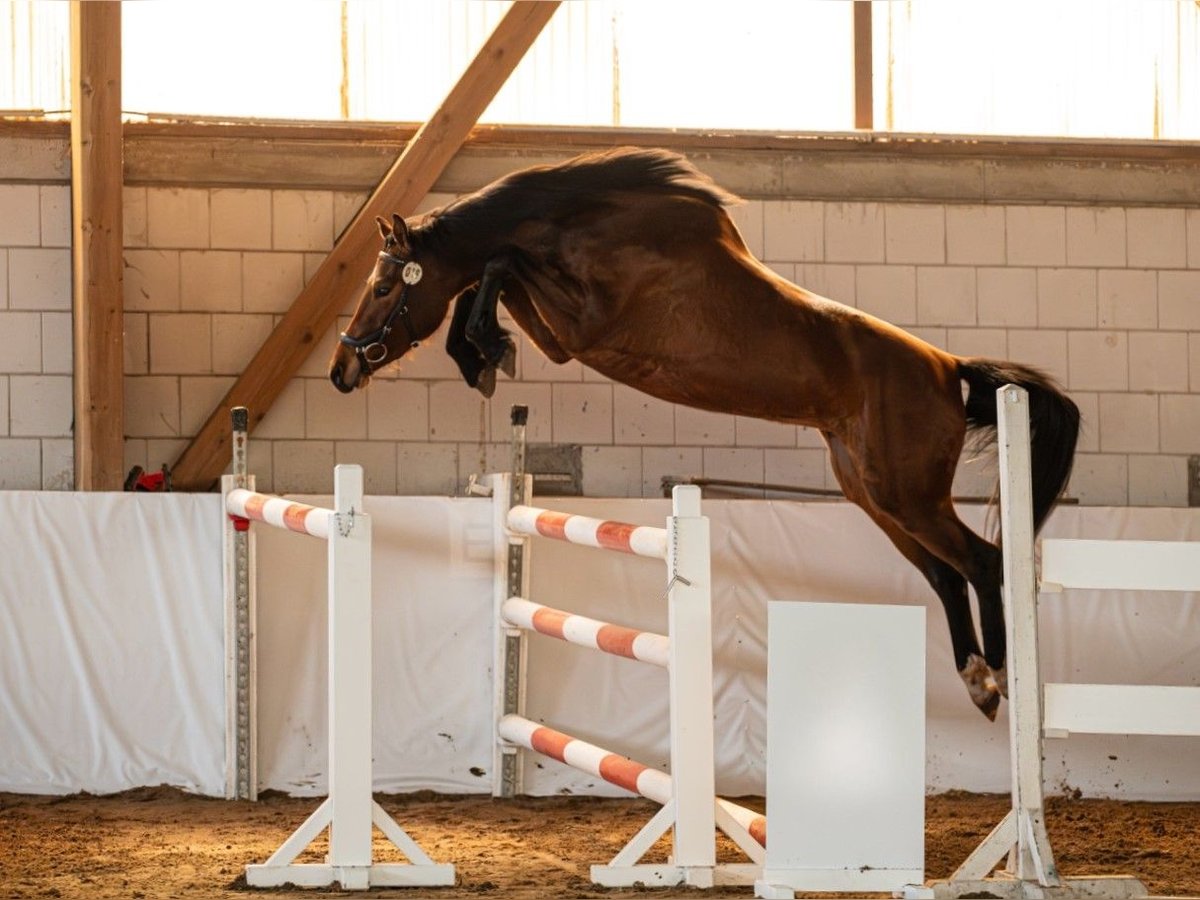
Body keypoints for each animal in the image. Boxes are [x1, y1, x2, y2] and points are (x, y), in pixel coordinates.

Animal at [328, 146, 1080, 720]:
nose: (341, 369)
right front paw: (480, 353)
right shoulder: (566, 331)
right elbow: (496, 270)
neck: (583, 226)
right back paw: (978, 683)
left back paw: (1002, 674)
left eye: (382, 288)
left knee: (982, 561)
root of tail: (949, 367)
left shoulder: (581, 329)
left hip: (908, 493)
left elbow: (497, 265)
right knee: (946, 575)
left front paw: (482, 350)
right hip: (874, 494)